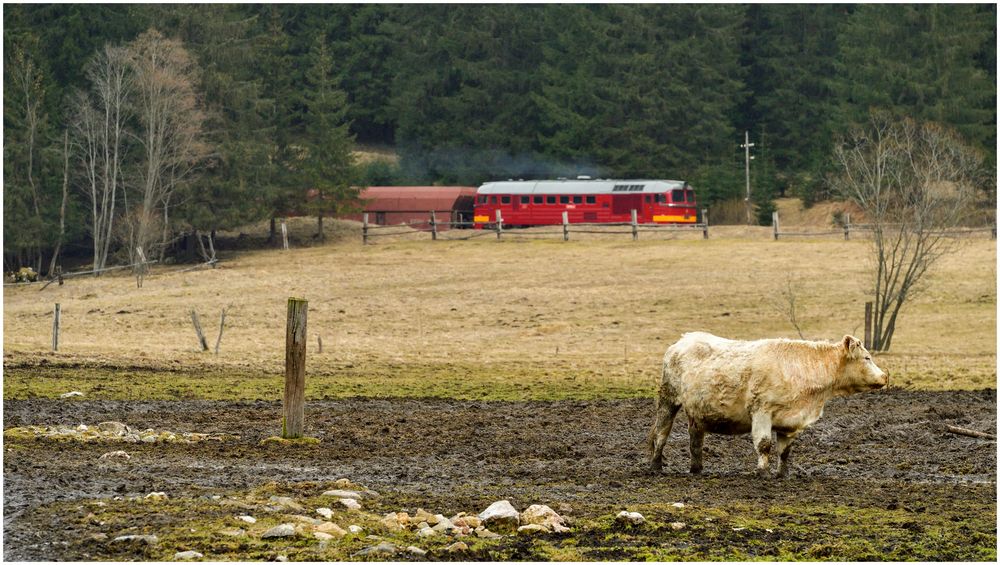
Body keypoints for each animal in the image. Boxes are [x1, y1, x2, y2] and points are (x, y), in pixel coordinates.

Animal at [648, 332, 892, 478]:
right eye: (867, 358)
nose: (884, 377)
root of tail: (683, 340)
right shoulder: (762, 411)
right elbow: (764, 444)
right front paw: (762, 473)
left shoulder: (789, 421)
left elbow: (784, 451)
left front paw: (782, 474)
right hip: (668, 399)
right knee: (661, 433)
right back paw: (655, 466)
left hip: (698, 412)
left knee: (695, 440)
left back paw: (697, 469)